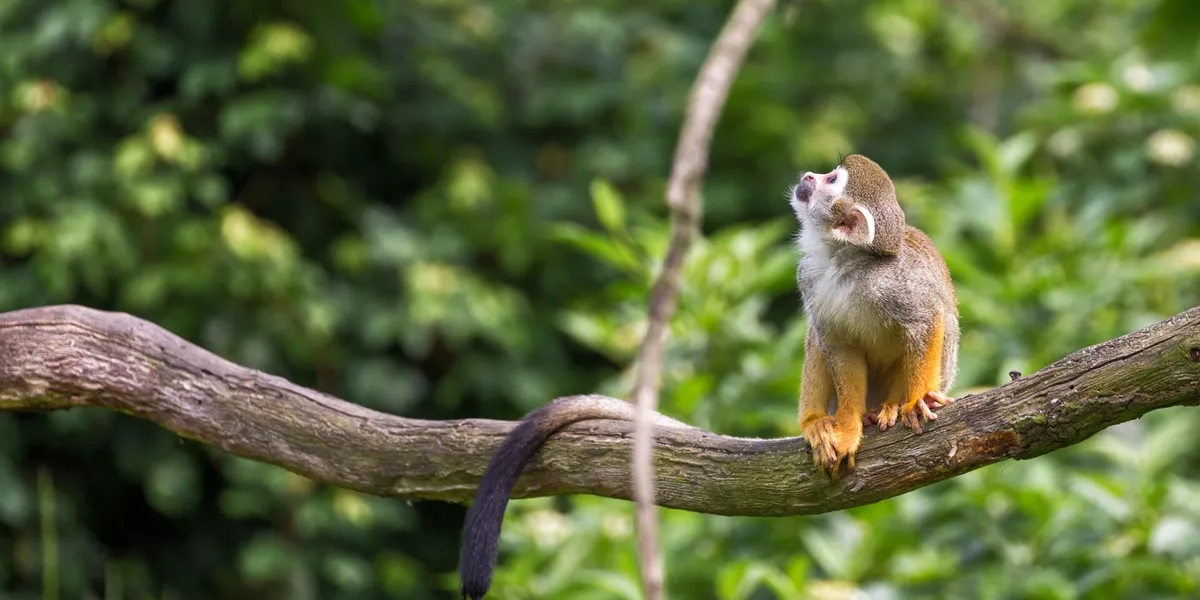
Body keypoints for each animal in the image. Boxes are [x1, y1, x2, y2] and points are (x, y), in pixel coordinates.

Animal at [789, 153, 959, 480]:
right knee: (817, 336)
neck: (840, 260)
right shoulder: (807, 275)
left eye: (831, 179)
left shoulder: (890, 280)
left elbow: (928, 317)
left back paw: (893, 404)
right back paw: (815, 421)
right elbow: (839, 346)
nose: (808, 177)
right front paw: (847, 427)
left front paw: (917, 399)